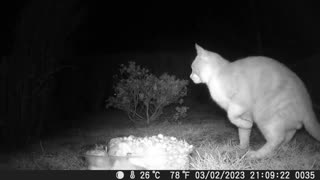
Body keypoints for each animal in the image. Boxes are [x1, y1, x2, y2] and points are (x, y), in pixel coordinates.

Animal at [190, 44, 320, 158]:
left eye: (192, 68)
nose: (190, 77)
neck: (215, 76)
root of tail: (308, 104)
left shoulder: (240, 102)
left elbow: (231, 116)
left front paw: (247, 126)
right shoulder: (245, 113)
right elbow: (243, 132)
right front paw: (242, 147)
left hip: (265, 116)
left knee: (277, 138)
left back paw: (257, 154)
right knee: (292, 131)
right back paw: (282, 148)